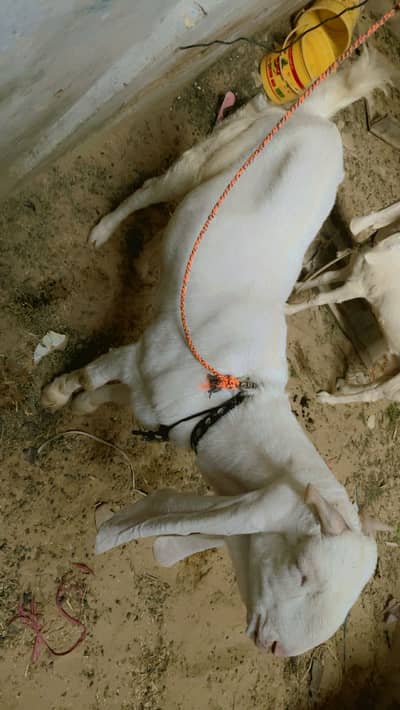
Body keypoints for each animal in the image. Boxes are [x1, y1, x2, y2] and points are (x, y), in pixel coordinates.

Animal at [285, 201, 400, 405]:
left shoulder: (357, 286)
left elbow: (319, 298)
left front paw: (286, 309)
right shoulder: (353, 269)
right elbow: (323, 277)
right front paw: (295, 287)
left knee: (377, 393)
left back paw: (326, 399)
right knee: (378, 383)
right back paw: (342, 386)